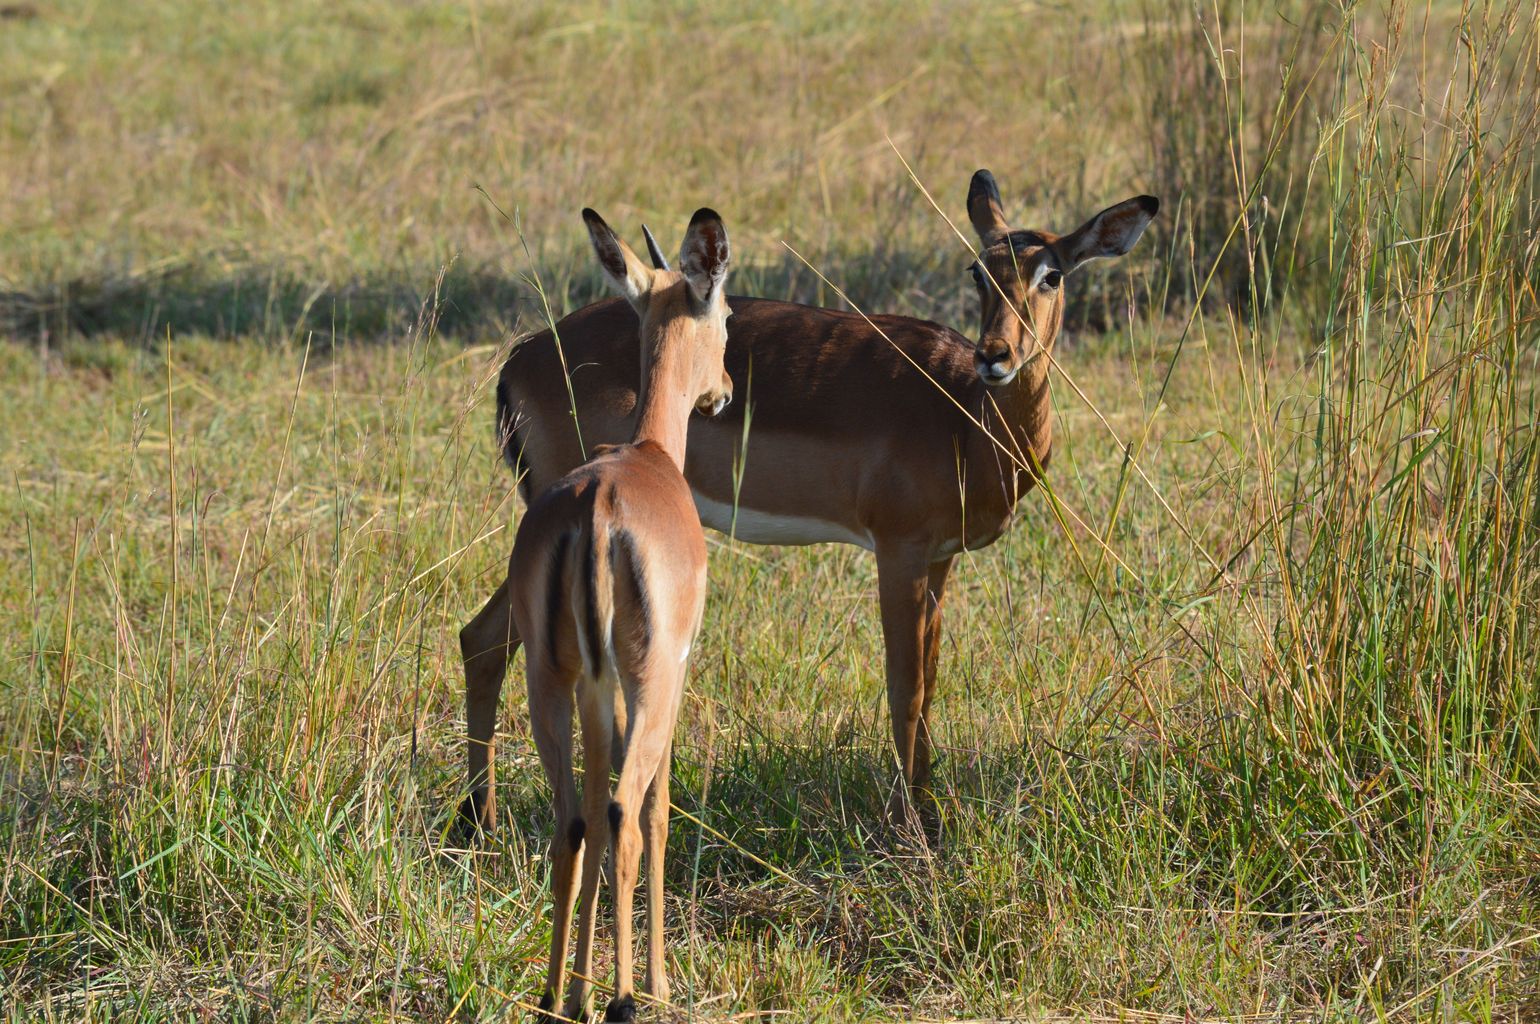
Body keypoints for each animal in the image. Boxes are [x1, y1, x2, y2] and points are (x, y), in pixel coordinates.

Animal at [459, 169, 1158, 836]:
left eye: (1052, 273)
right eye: (978, 270)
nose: (996, 356)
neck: (963, 414)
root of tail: (520, 359)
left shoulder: (940, 559)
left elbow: (930, 684)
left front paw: (931, 809)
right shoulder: (898, 552)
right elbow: (904, 689)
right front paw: (911, 828)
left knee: (483, 641)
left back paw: (478, 821)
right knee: (484, 639)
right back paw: (480, 820)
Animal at [508, 207, 733, 1022]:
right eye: (728, 314)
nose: (724, 390)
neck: (651, 452)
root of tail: (600, 512)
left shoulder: (591, 687)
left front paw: (580, 986)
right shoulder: (675, 676)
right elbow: (661, 812)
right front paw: (656, 983)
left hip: (549, 682)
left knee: (574, 820)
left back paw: (554, 995)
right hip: (647, 684)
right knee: (626, 816)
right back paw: (630, 997)